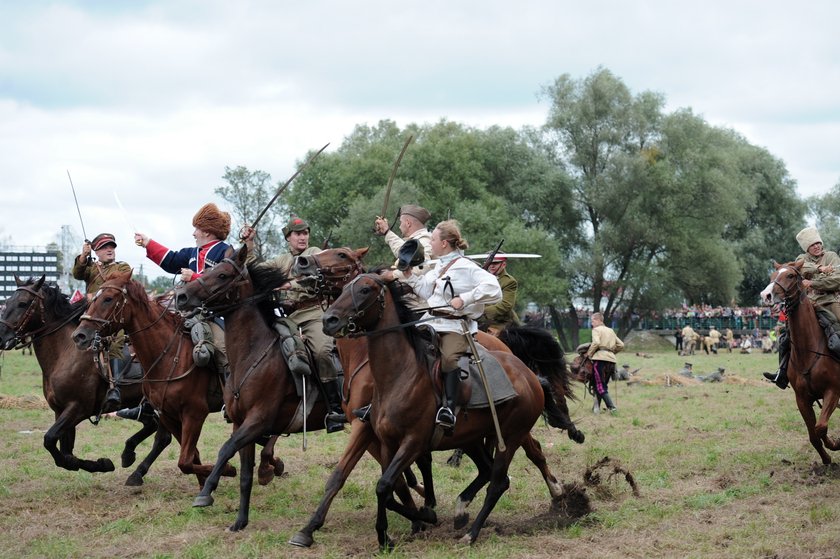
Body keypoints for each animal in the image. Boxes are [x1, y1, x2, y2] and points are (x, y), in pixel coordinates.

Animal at [0, 276, 171, 486]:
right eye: (7, 302)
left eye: (23, 303)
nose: (1, 336)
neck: (65, 352)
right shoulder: (61, 411)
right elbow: (64, 453)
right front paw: (98, 464)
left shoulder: (77, 409)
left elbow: (50, 440)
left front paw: (102, 464)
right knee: (153, 427)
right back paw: (128, 454)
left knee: (162, 437)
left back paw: (137, 472)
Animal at [172, 248, 434, 532]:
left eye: (222, 274)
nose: (182, 295)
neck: (252, 355)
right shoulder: (241, 423)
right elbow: (244, 472)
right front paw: (240, 520)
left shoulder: (258, 421)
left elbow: (225, 449)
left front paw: (206, 492)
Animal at [760, 262, 840, 464]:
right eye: (772, 275)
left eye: (790, 275)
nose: (766, 295)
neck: (808, 350)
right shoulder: (802, 399)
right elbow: (814, 435)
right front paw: (826, 459)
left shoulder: (833, 391)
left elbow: (821, 426)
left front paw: (836, 444)